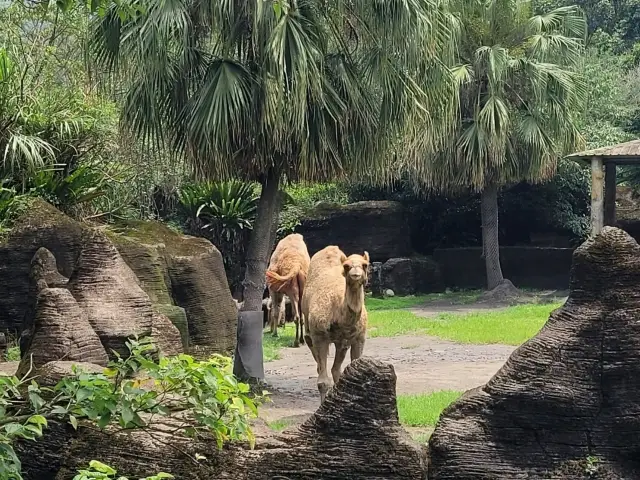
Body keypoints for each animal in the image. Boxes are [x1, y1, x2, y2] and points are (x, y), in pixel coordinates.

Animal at [302, 246, 370, 404]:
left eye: (365, 265)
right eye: (346, 266)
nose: (356, 274)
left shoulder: (358, 338)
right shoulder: (320, 336)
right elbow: (322, 381)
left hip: (341, 343)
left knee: (335, 369)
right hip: (309, 327)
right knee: (314, 352)